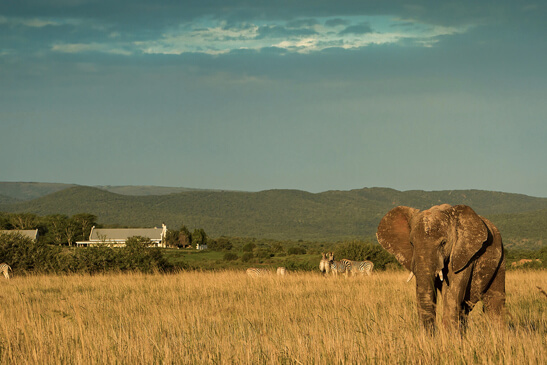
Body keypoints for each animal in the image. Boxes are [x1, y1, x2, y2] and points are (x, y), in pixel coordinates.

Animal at [376, 203, 506, 332]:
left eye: (443, 243)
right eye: (412, 244)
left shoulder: (463, 255)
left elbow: (451, 295)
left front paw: (450, 336)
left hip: (500, 257)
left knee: (494, 302)